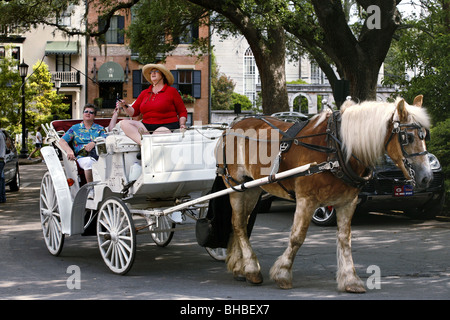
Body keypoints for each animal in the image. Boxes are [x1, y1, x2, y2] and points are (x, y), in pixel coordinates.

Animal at [217, 95, 432, 292]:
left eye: (425, 136)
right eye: (408, 137)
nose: (426, 177)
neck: (337, 148)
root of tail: (232, 127)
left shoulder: (348, 202)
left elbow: (345, 239)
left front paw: (350, 279)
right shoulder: (306, 199)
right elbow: (297, 237)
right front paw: (283, 273)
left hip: (251, 188)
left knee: (241, 223)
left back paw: (240, 267)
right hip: (235, 185)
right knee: (238, 224)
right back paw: (252, 269)